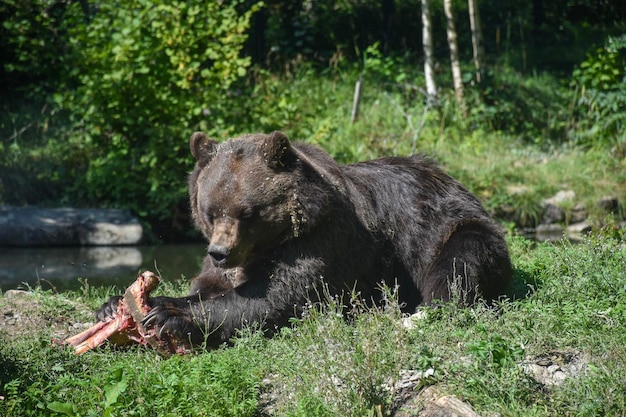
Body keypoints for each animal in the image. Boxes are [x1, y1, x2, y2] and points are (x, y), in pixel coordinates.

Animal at [96, 132, 508, 346]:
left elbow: (274, 299)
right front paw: (118, 304)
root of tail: (455, 181)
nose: (220, 253)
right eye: (210, 210)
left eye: (247, 212)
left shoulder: (324, 242)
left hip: (449, 227)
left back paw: (424, 310)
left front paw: (170, 317)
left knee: (459, 264)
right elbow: (206, 287)